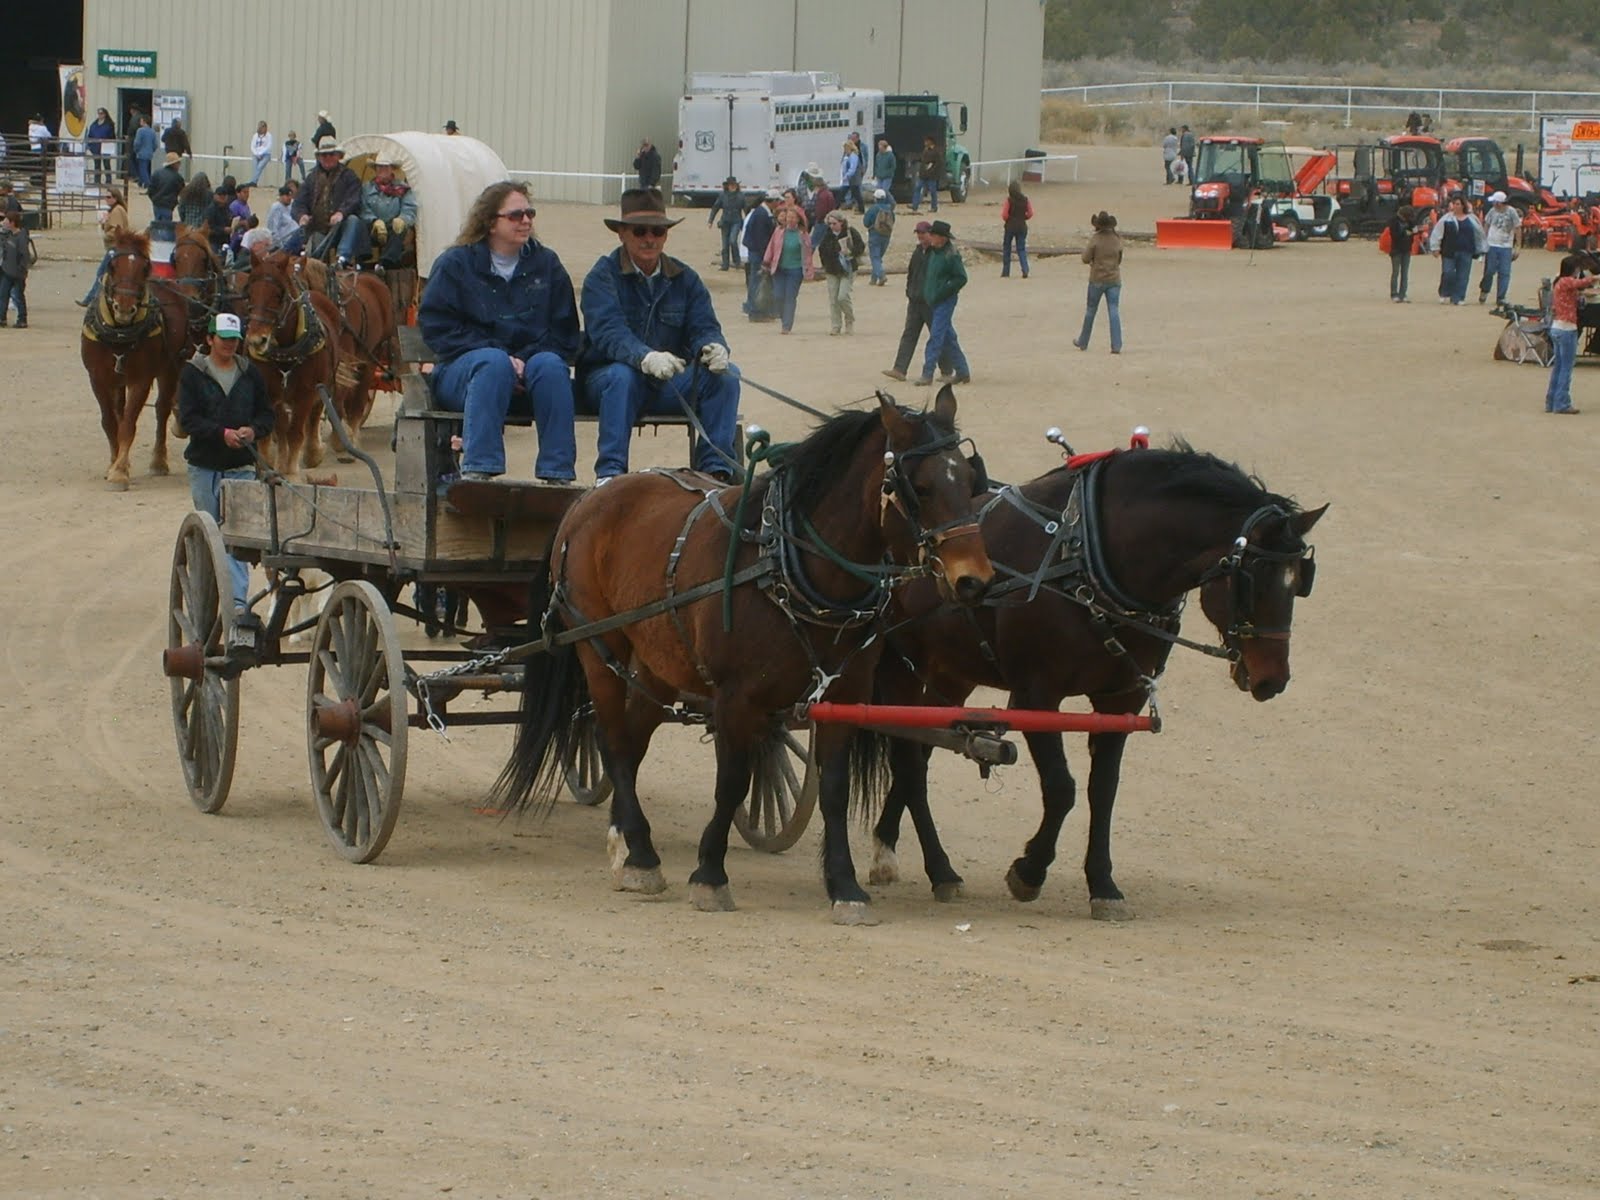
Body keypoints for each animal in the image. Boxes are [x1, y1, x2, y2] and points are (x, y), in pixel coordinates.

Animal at [79, 229, 184, 490]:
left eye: (145, 267)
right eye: (112, 265)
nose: (125, 308)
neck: (119, 335)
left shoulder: (141, 380)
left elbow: (128, 423)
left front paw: (119, 472)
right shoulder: (98, 379)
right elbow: (110, 422)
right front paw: (115, 462)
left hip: (170, 368)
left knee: (162, 409)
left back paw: (159, 461)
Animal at [241, 247, 343, 474]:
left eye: (279, 295)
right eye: (249, 293)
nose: (256, 340)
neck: (286, 353)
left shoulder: (306, 394)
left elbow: (295, 432)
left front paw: (293, 472)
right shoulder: (272, 395)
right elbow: (280, 429)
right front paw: (278, 465)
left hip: (323, 385)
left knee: (314, 416)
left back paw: (313, 452)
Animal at [493, 391, 995, 925]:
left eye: (970, 481)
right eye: (920, 487)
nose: (974, 580)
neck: (787, 569)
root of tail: (590, 497)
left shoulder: (842, 696)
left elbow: (834, 789)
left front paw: (845, 886)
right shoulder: (737, 698)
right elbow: (732, 782)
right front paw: (710, 874)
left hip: (658, 661)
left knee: (631, 741)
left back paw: (626, 841)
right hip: (598, 645)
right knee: (611, 740)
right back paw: (643, 857)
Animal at [866, 439, 1327, 919]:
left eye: (1300, 582)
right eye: (1251, 580)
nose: (1272, 679)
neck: (1088, 557)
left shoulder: (1121, 700)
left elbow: (1102, 790)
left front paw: (1103, 884)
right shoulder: (1035, 696)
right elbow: (1062, 789)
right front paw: (1029, 871)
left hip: (950, 673)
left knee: (919, 752)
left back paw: (891, 844)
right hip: (897, 668)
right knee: (908, 761)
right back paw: (937, 868)